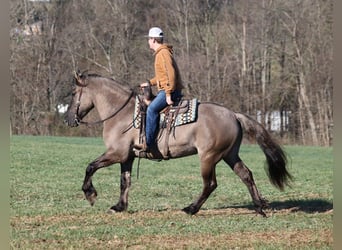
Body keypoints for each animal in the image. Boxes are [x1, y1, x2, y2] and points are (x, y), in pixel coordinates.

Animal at [66, 71, 292, 217]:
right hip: (230, 155)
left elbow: (90, 167)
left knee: (210, 184)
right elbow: (125, 181)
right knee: (246, 175)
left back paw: (191, 209)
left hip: (208, 157)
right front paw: (119, 206)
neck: (121, 113)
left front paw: (90, 194)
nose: (68, 120)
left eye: (73, 93)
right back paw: (259, 207)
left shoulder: (116, 153)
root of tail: (233, 114)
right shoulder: (127, 157)